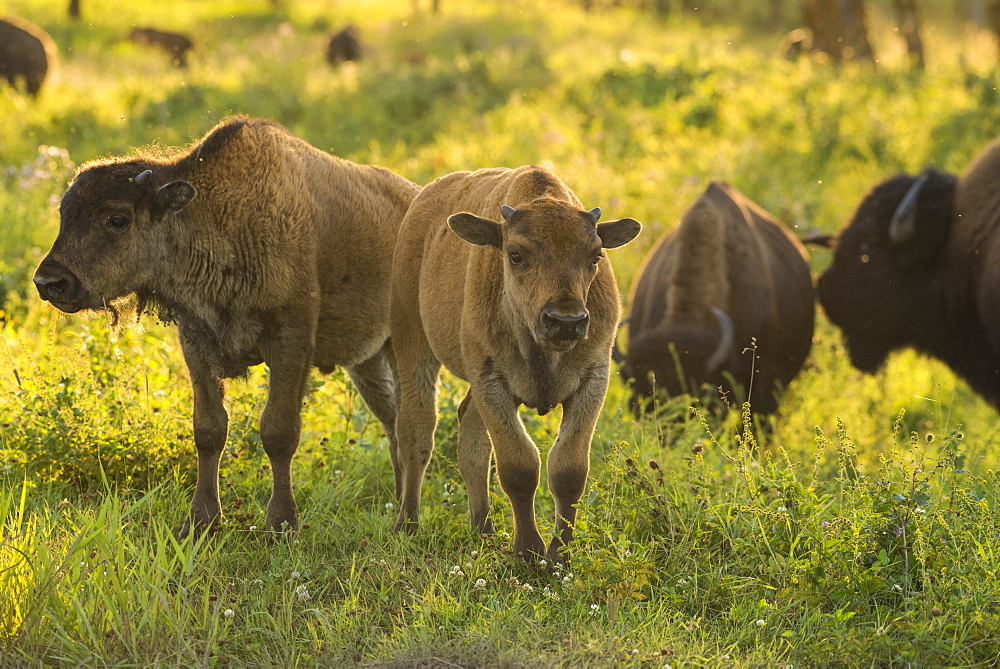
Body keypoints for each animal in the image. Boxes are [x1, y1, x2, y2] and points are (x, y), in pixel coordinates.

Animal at [33, 116, 420, 536]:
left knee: (403, 420)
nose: (49, 282)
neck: (218, 217)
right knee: (391, 418)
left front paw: (281, 525)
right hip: (367, 359)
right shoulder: (196, 341)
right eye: (63, 215)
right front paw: (200, 523)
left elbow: (278, 432)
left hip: (398, 348)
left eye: (116, 219)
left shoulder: (290, 339)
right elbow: (209, 430)